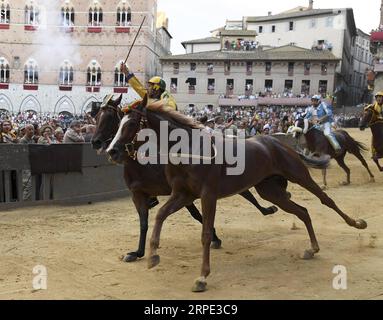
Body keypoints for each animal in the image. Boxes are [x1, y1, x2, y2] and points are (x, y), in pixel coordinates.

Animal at [91, 94, 278, 262]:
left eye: (111, 118)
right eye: (97, 117)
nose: (98, 144)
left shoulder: (184, 193)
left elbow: (197, 215)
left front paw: (215, 237)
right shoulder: (138, 194)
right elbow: (143, 223)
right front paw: (137, 252)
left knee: (249, 195)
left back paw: (268, 209)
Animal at [109, 99, 368, 294]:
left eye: (130, 124)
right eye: (118, 123)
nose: (112, 151)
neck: (190, 151)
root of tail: (277, 142)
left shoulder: (208, 195)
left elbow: (205, 233)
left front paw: (202, 277)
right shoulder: (183, 194)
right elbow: (160, 215)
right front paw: (152, 256)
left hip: (298, 175)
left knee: (325, 200)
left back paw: (356, 223)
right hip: (270, 191)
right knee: (302, 211)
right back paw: (312, 248)